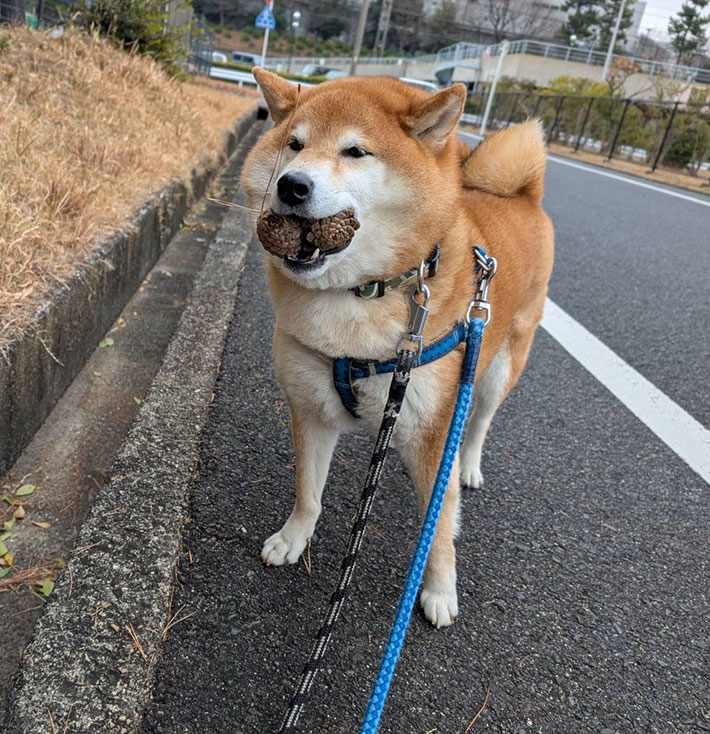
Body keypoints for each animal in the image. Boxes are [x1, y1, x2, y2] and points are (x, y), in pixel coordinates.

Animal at [242, 69, 552, 628]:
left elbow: (439, 528)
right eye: (294, 144)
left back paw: (468, 466)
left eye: (355, 151)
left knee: (478, 421)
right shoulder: (310, 407)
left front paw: (438, 590)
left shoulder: (431, 431)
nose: (291, 184)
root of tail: (522, 196)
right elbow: (308, 493)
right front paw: (293, 539)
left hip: (499, 366)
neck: (361, 295)